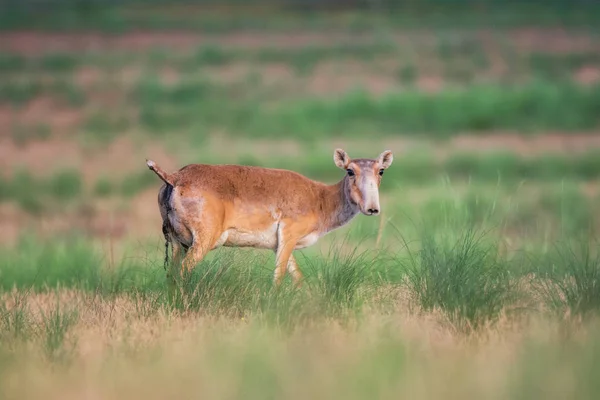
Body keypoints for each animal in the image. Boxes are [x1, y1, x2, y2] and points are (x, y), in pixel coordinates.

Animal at [146, 148, 394, 286]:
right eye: (350, 171)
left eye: (380, 171)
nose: (372, 208)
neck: (320, 198)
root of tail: (174, 177)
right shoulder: (289, 236)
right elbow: (279, 276)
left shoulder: (280, 244)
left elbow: (298, 277)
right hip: (203, 240)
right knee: (183, 272)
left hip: (179, 243)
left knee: (171, 275)